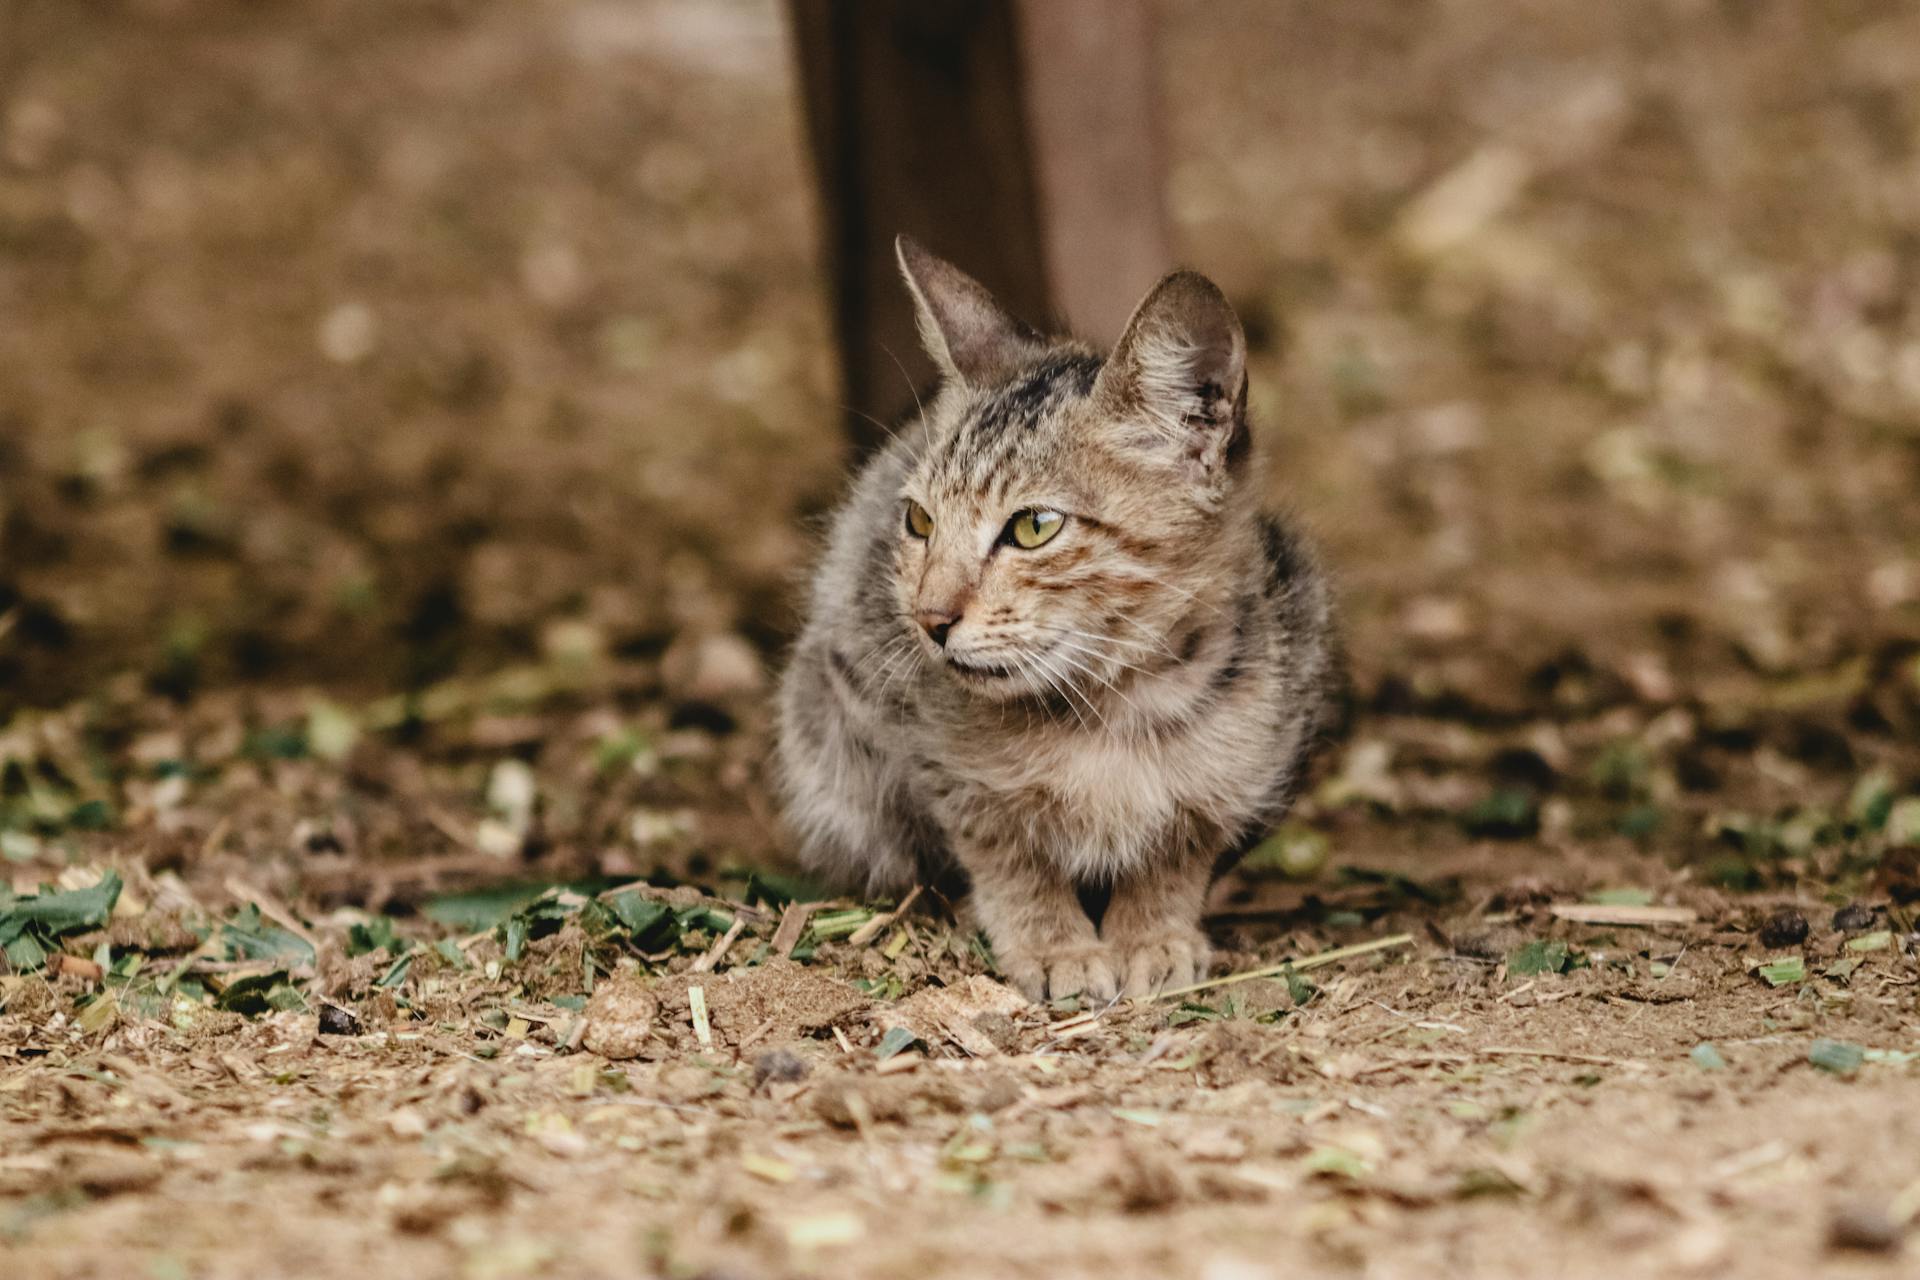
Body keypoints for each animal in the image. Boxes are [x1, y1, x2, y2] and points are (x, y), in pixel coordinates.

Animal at [771, 239, 1344, 997]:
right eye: (919, 520)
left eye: (1034, 527)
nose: (928, 618)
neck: (1111, 707)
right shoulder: (938, 767)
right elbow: (1008, 856)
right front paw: (1053, 946)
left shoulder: (1252, 759)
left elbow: (1180, 848)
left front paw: (1152, 933)